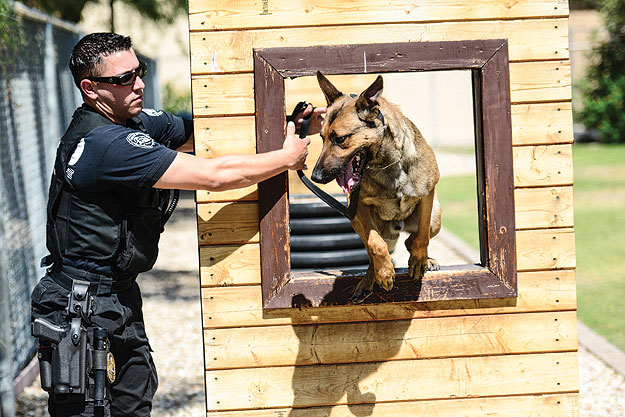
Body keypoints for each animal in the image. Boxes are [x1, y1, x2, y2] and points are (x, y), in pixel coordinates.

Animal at [310, 71, 438, 302]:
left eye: (340, 139)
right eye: (322, 138)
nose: (315, 177)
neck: (387, 163)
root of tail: (396, 227)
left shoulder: (428, 194)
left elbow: (422, 236)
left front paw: (419, 259)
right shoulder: (359, 205)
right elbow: (375, 244)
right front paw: (384, 272)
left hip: (436, 215)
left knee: (412, 239)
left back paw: (426, 259)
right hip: (355, 220)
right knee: (374, 250)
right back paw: (371, 277)